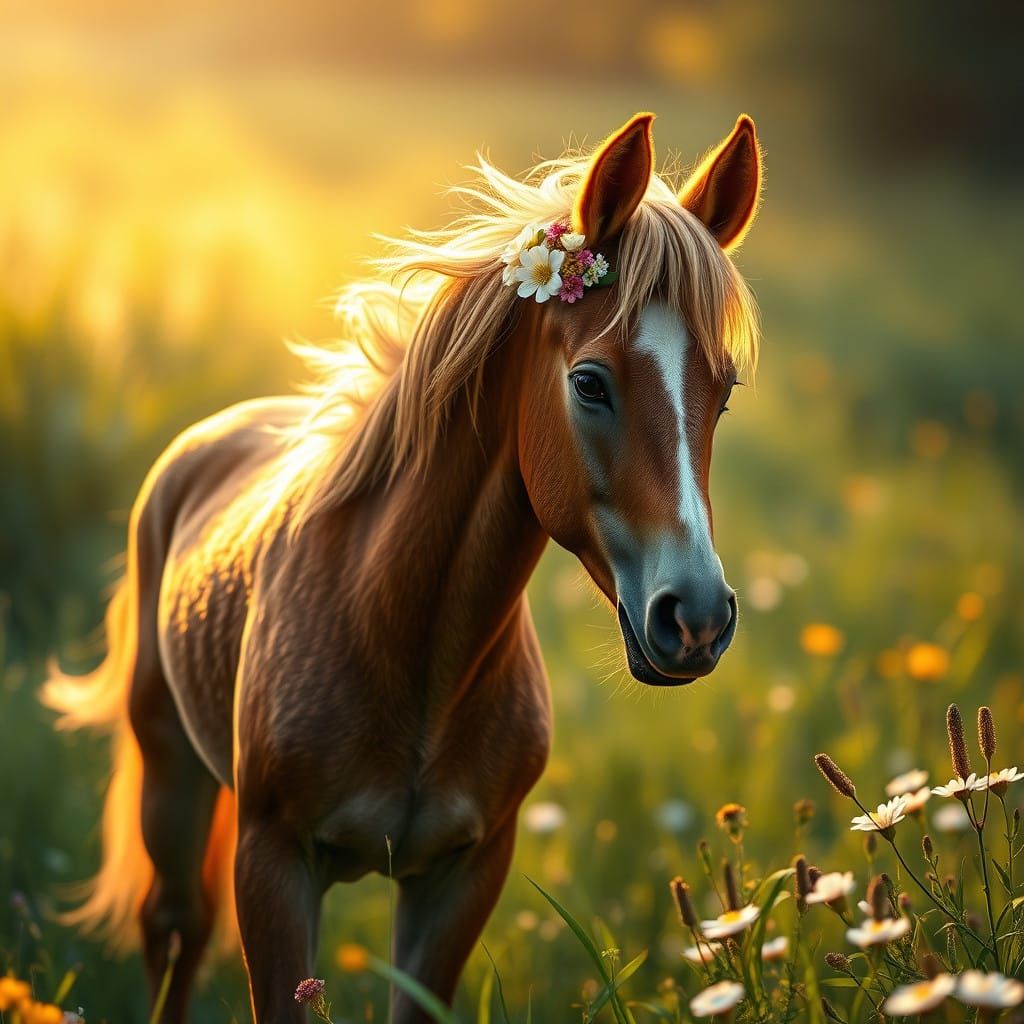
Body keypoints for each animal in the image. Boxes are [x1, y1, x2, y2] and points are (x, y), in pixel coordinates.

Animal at [43, 111, 763, 1022]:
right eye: (591, 383)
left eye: (726, 391)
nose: (696, 617)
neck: (397, 632)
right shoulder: (273, 866)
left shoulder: (461, 878)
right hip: (170, 778)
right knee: (175, 931)